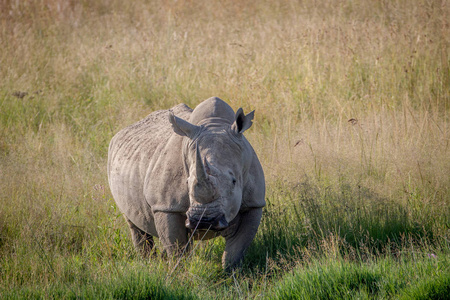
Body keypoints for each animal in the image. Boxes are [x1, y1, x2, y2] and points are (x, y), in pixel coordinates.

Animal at [107, 97, 266, 270]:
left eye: (234, 181)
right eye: (187, 181)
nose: (204, 221)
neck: (216, 125)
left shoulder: (253, 203)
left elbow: (236, 251)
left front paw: (230, 273)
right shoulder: (167, 207)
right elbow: (177, 249)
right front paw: (180, 273)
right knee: (135, 224)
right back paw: (147, 262)